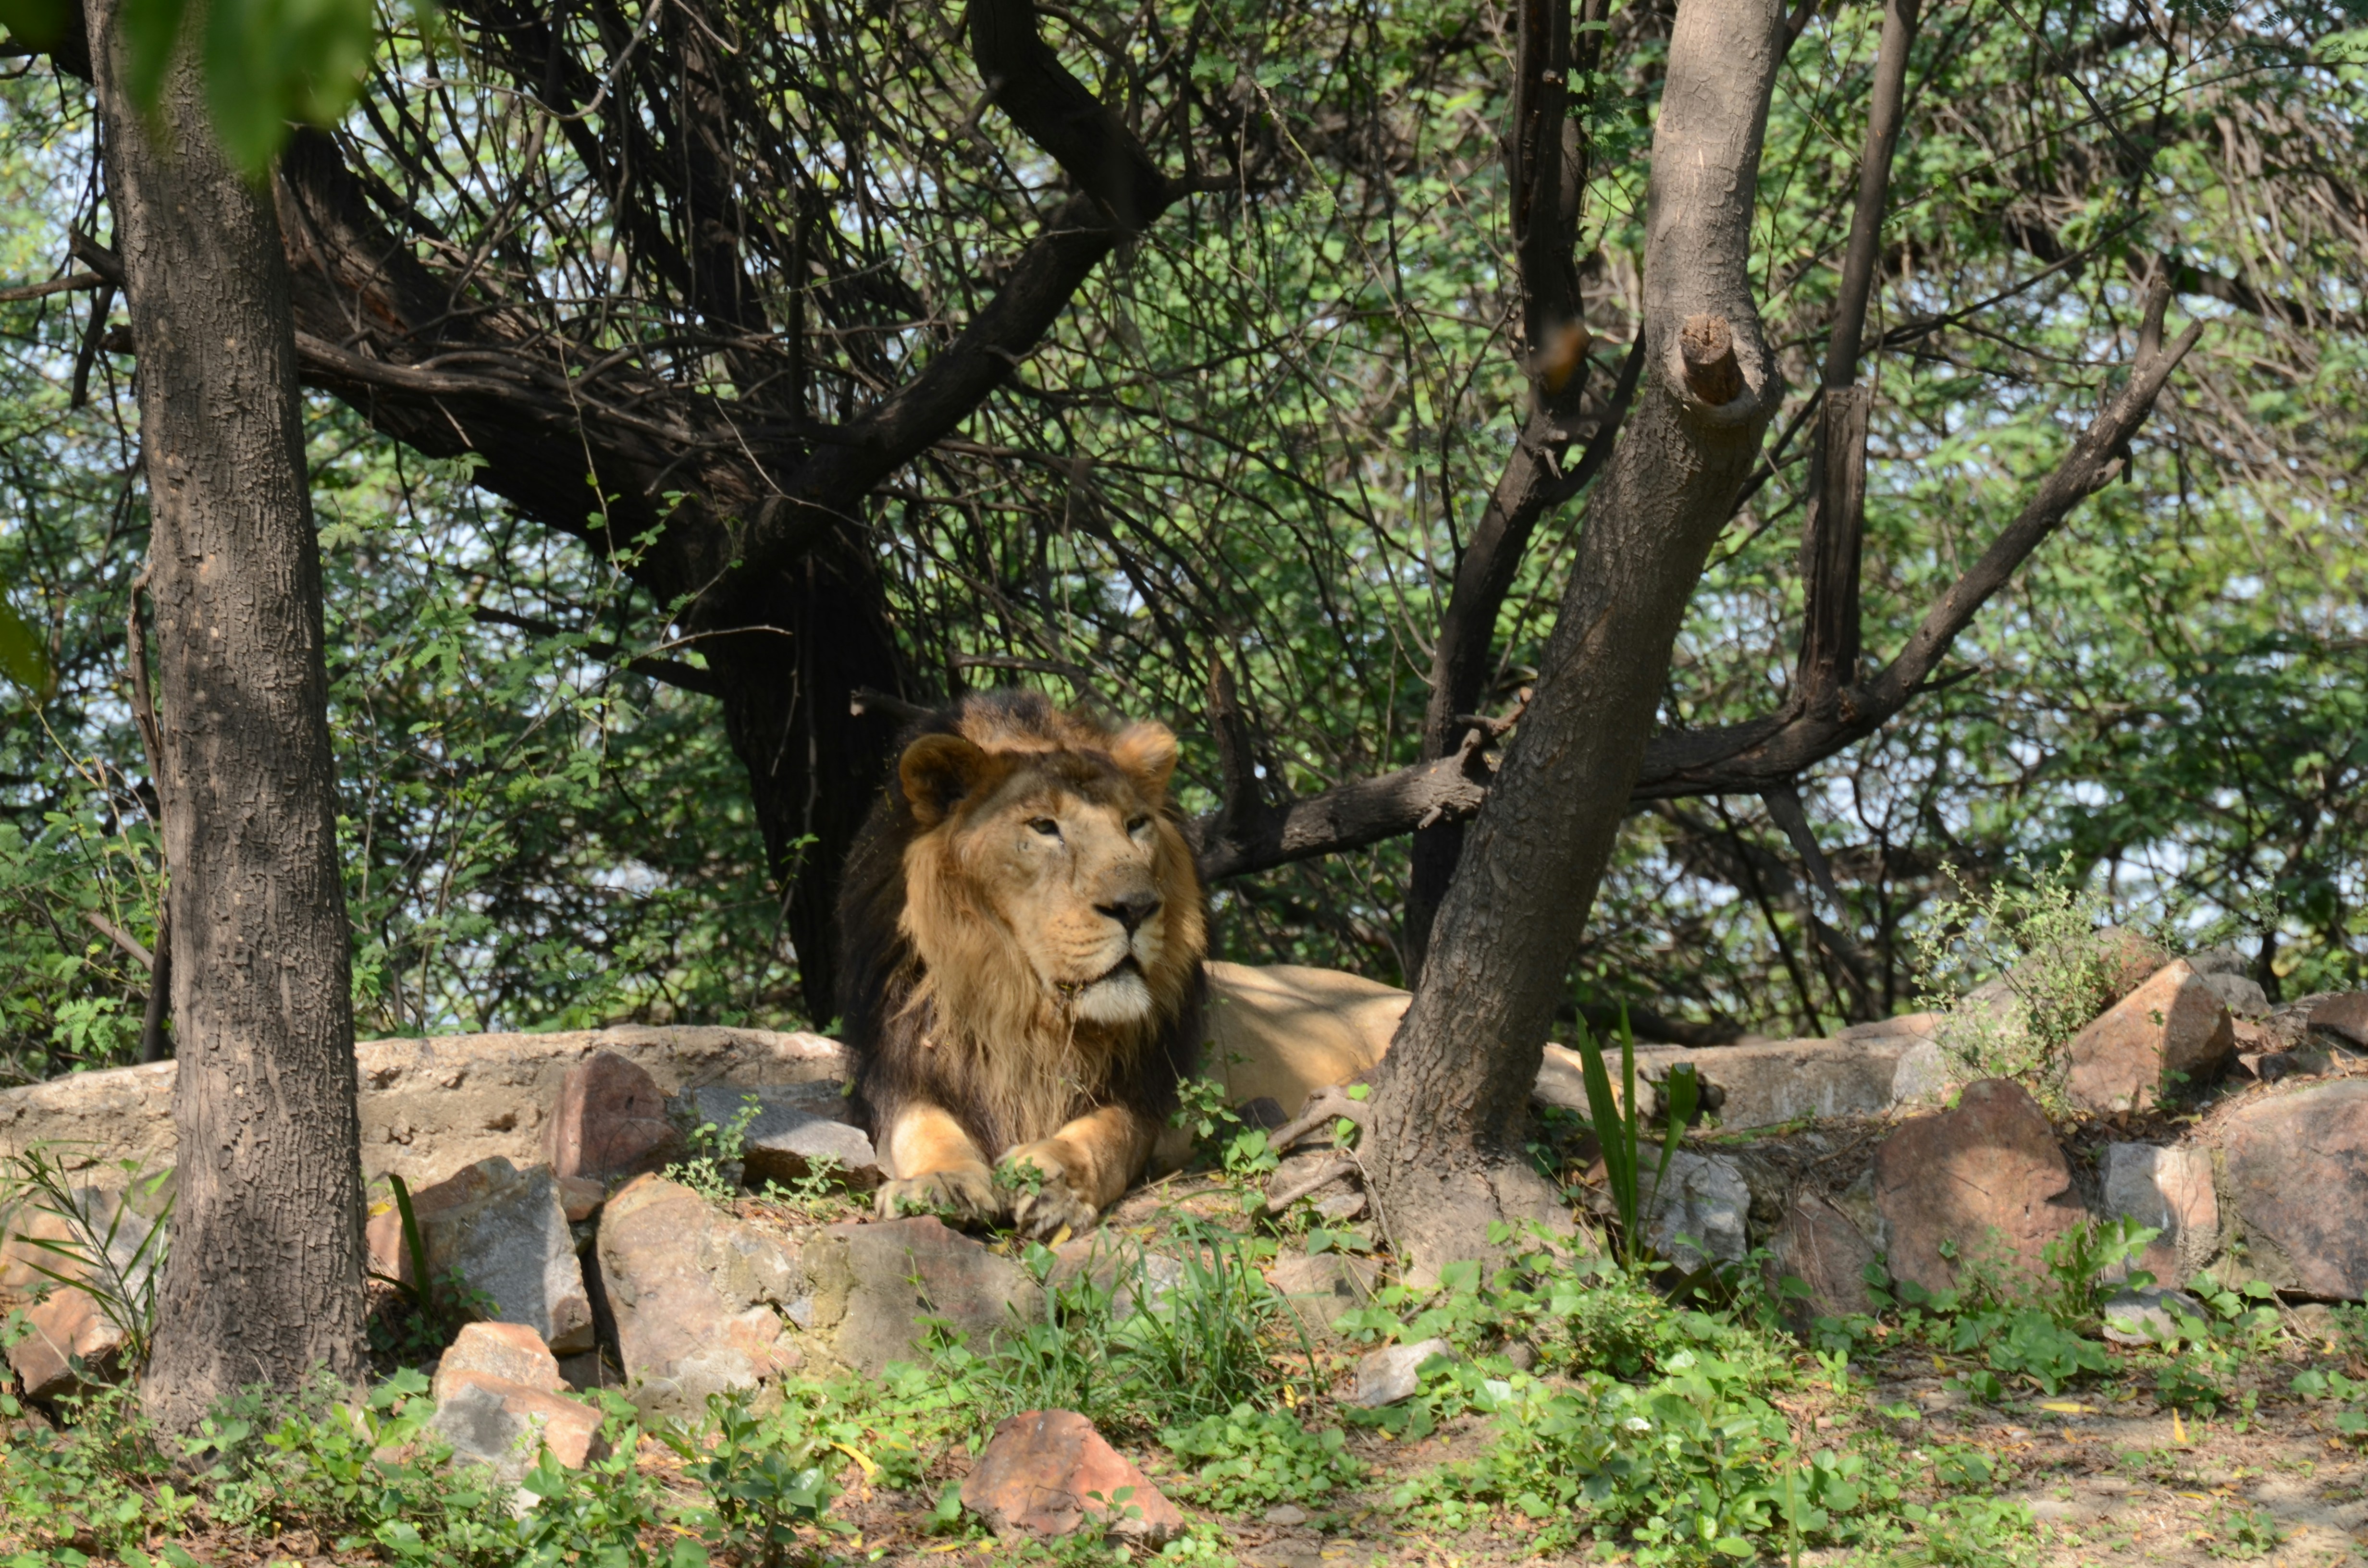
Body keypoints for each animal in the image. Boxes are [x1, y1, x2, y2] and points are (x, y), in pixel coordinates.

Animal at [837, 691, 1208, 1238]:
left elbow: (1106, 1135)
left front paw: (1054, 1180)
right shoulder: (898, 1070)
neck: (1023, 1010)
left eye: (1135, 825)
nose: (1136, 908)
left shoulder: (1148, 1092)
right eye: (1045, 827)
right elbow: (922, 1127)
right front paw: (942, 1183)